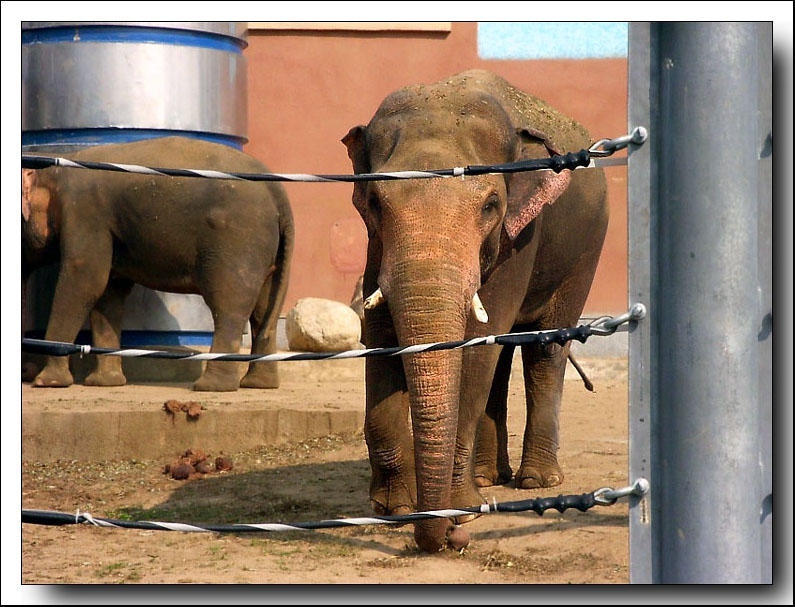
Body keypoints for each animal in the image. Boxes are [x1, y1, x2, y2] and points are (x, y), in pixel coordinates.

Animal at [22, 136, 294, 392]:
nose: (26, 371)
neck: (59, 164)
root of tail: (278, 193)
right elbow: (109, 292)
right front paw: (104, 383)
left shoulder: (85, 213)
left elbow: (85, 280)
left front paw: (46, 382)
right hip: (267, 249)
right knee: (263, 310)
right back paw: (259, 384)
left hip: (236, 240)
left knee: (229, 305)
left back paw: (211, 386)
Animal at [342, 69, 608, 552]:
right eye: (374, 203)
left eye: (490, 205)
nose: (449, 538)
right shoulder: (376, 246)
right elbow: (380, 333)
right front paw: (394, 511)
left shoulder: (518, 238)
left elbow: (478, 342)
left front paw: (460, 511)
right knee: (501, 357)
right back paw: (487, 477)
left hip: (586, 251)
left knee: (543, 349)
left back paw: (536, 481)